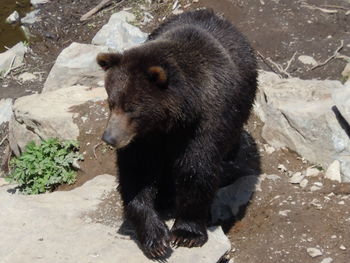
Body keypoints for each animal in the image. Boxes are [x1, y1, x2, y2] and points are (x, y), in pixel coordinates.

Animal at [97, 8, 256, 260]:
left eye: (131, 108)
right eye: (111, 102)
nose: (110, 138)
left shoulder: (206, 122)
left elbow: (196, 169)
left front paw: (186, 233)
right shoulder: (144, 138)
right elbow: (137, 173)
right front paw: (156, 239)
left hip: (243, 100)